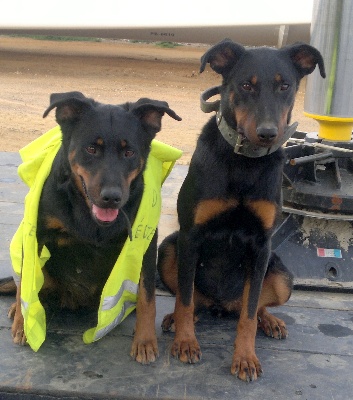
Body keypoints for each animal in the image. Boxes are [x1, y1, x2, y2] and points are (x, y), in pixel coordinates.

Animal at [7, 92, 182, 364]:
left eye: (129, 152)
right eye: (91, 149)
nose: (111, 197)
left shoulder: (145, 243)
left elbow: (147, 297)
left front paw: (144, 341)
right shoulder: (37, 234)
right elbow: (26, 283)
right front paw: (23, 323)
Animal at [157, 39, 324, 382]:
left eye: (285, 86)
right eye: (246, 85)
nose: (268, 133)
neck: (245, 162)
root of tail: (222, 305)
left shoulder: (261, 245)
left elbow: (248, 315)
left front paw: (245, 358)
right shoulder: (191, 236)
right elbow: (185, 298)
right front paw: (185, 342)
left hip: (283, 276)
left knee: (254, 304)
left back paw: (269, 320)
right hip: (168, 250)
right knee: (189, 299)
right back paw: (177, 319)